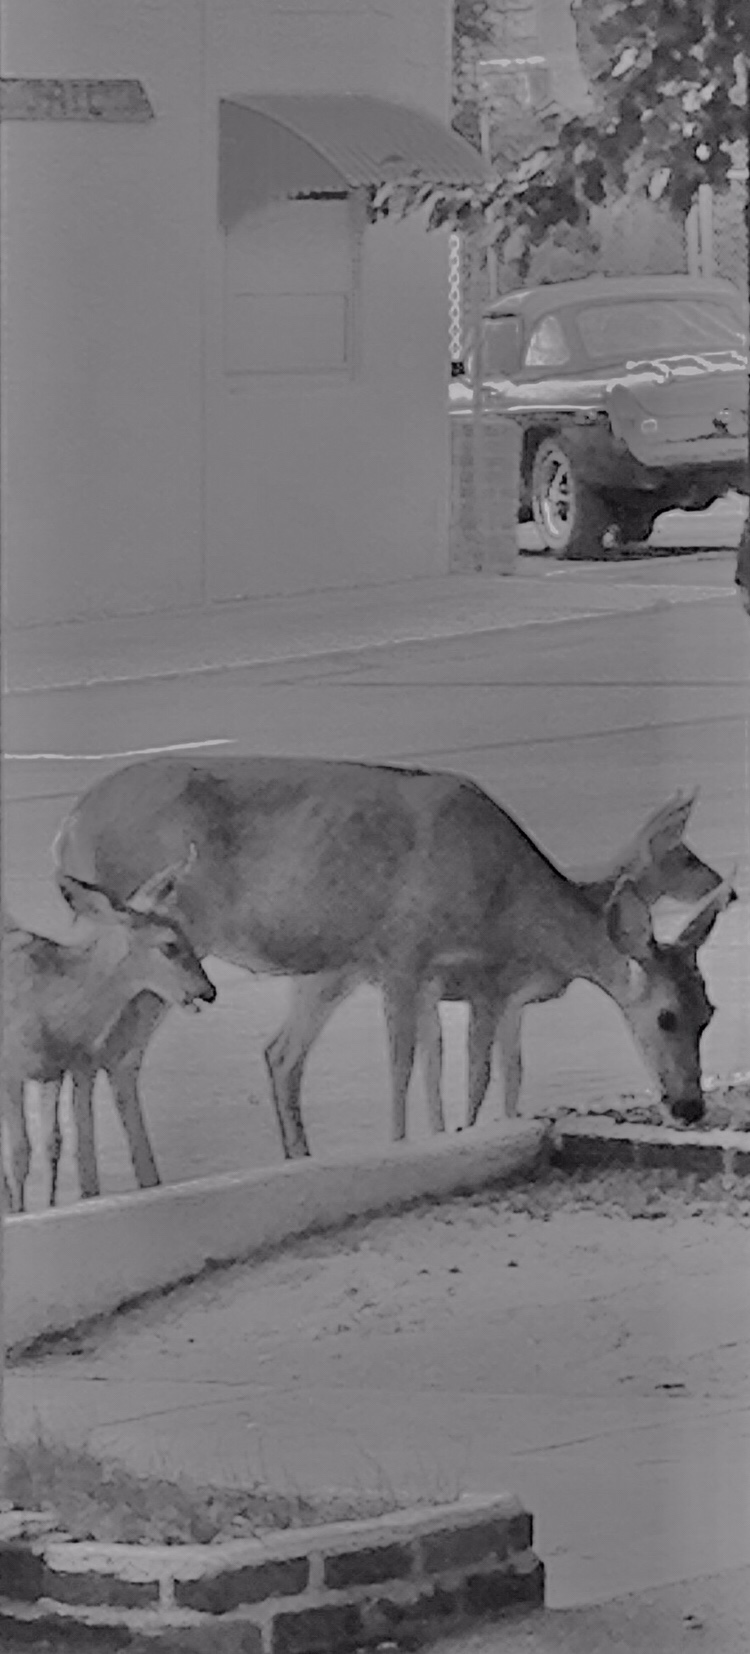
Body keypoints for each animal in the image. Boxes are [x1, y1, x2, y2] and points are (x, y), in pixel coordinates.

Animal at [1, 853, 216, 1212]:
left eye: (186, 934)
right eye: (169, 946)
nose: (209, 991)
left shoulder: (55, 1071)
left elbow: (52, 1143)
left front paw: (50, 1206)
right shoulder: (10, 1070)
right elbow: (18, 1152)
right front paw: (20, 1214)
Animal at [51, 757, 734, 1179]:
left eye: (710, 1012)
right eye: (665, 1016)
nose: (689, 1107)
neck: (505, 895)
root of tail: (67, 828)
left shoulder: (447, 981)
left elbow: (457, 1069)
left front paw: (452, 1136)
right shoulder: (407, 957)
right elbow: (420, 1069)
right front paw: (408, 1147)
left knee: (237, 1053)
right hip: (155, 950)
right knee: (115, 1051)